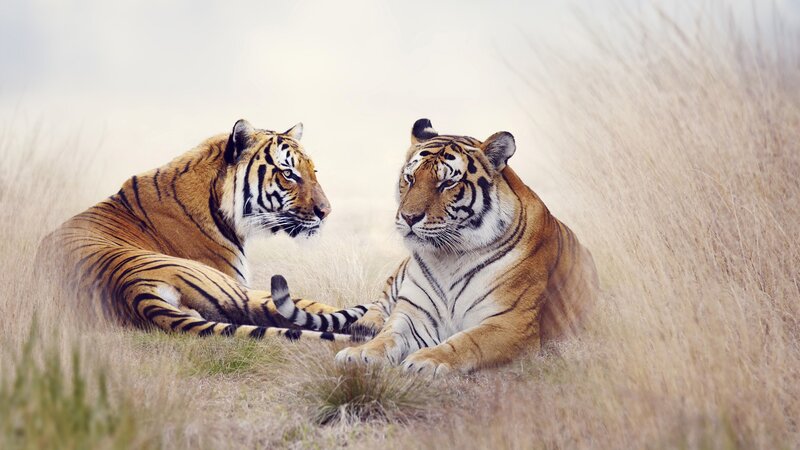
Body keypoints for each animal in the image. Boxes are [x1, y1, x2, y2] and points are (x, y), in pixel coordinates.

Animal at [271, 118, 599, 373]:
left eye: (447, 183)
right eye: (409, 178)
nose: (408, 217)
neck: (449, 257)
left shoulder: (510, 322)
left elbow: (467, 341)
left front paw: (427, 360)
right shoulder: (413, 313)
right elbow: (389, 335)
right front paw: (362, 353)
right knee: (379, 305)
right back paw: (366, 326)